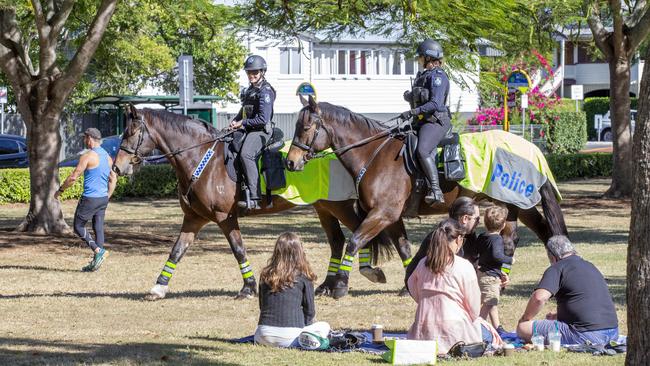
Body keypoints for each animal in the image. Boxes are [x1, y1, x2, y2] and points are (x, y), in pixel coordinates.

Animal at [110, 105, 404, 300]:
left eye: (131, 133)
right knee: (341, 240)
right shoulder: (193, 219)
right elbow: (176, 251)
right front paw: (158, 287)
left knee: (358, 232)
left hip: (339, 205)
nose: (117, 168)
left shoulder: (225, 218)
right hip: (324, 208)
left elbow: (238, 250)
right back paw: (329, 284)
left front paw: (248, 288)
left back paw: (363, 272)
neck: (201, 157)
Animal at [286, 97, 564, 300]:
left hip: (512, 201)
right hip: (517, 203)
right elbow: (403, 248)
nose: (291, 162)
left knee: (514, 238)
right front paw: (405, 282)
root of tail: (529, 147)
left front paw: (342, 286)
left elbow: (354, 241)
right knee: (532, 232)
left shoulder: (382, 214)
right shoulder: (390, 217)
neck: (374, 155)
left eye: (306, 128)